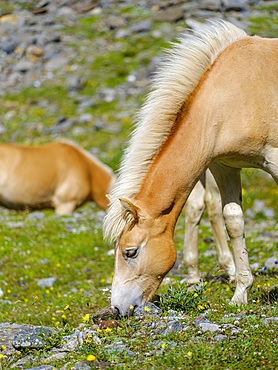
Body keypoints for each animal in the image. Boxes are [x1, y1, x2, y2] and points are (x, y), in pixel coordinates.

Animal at [103, 20, 278, 316]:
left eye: (130, 252)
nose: (117, 309)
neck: (239, 94)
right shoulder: (224, 166)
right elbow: (232, 219)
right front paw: (240, 293)